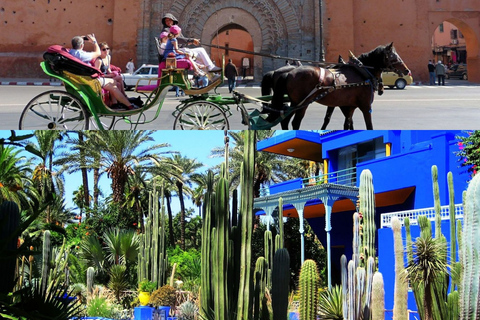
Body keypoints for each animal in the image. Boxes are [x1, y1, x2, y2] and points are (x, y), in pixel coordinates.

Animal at [266, 42, 408, 130]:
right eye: (394, 57)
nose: (407, 70)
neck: (363, 72)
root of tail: (289, 73)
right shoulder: (366, 106)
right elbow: (369, 126)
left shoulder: (349, 106)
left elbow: (347, 124)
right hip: (303, 103)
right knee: (295, 122)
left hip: (295, 103)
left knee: (285, 120)